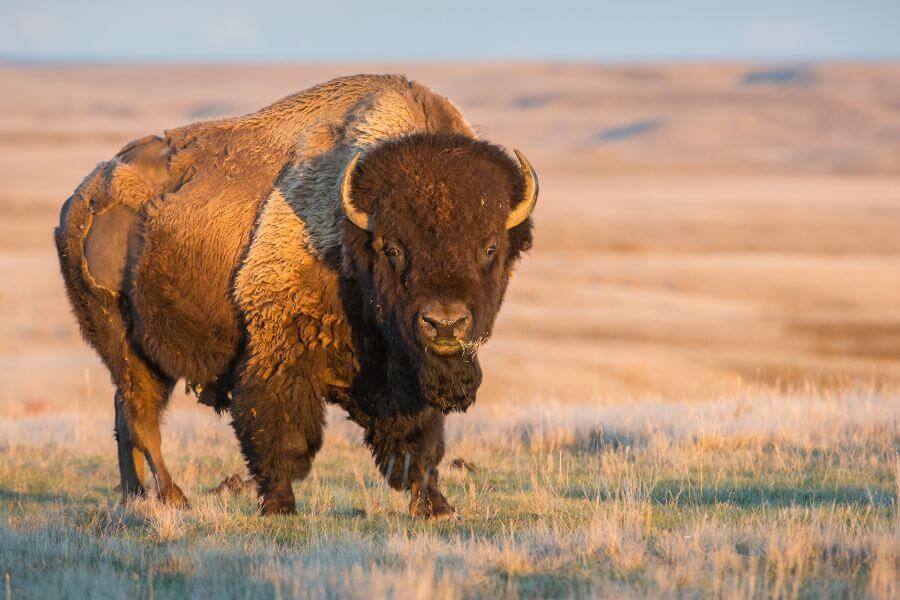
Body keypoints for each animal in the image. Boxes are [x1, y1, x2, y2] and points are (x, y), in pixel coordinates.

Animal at [54, 74, 536, 516]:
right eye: (393, 248)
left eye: (490, 247)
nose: (445, 324)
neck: (352, 236)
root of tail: (81, 199)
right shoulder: (281, 349)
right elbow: (281, 432)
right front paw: (279, 505)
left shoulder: (404, 374)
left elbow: (417, 442)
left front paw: (436, 507)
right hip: (122, 343)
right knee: (141, 416)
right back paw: (174, 498)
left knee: (125, 416)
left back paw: (134, 496)